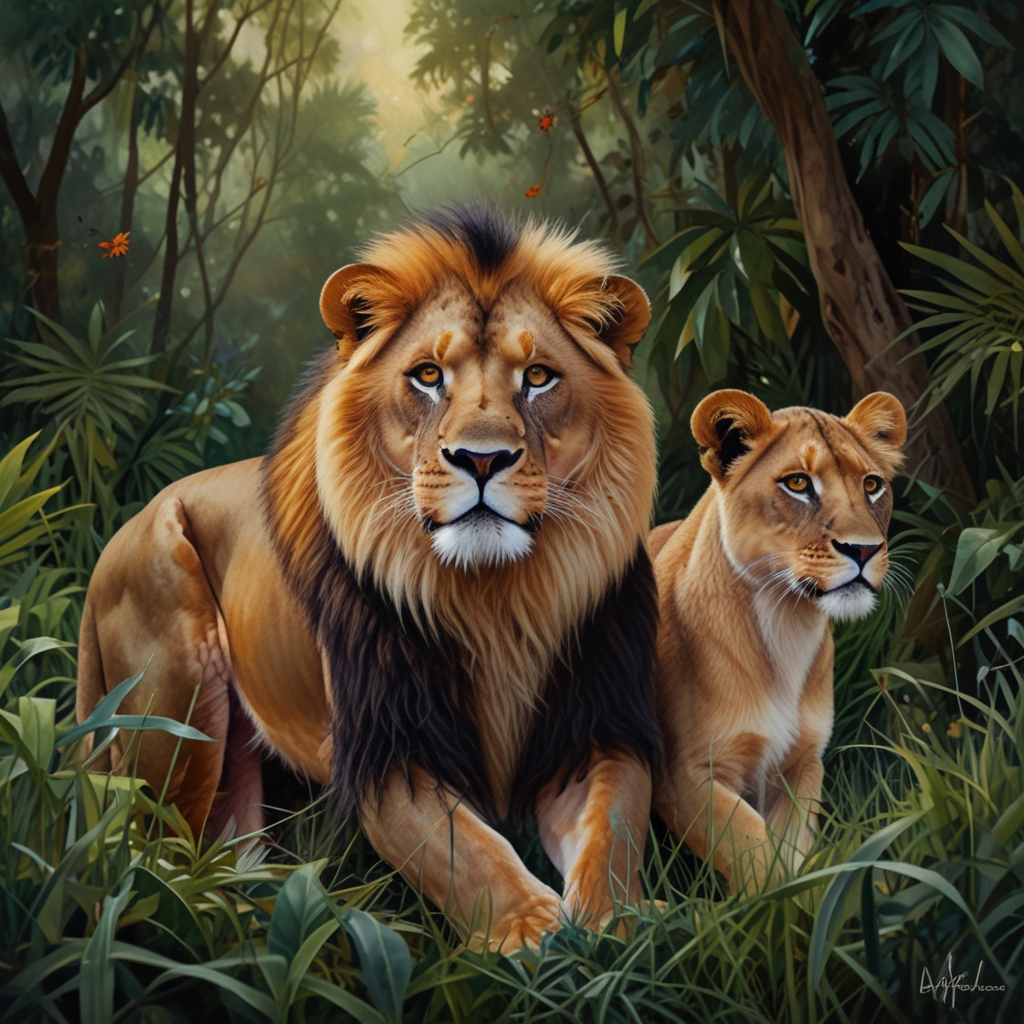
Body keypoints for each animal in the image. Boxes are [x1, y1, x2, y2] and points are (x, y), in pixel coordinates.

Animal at [76, 204, 662, 951]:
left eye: (538, 377)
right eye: (427, 376)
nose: (481, 459)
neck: (495, 599)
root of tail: (116, 539)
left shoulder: (599, 729)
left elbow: (612, 833)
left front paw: (615, 928)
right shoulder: (386, 749)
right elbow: (467, 850)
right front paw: (532, 934)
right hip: (174, 702)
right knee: (156, 860)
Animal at [649, 389, 906, 893]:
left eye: (872, 485)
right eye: (798, 483)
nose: (864, 549)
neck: (786, 621)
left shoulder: (801, 765)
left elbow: (794, 857)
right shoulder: (686, 775)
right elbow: (753, 852)